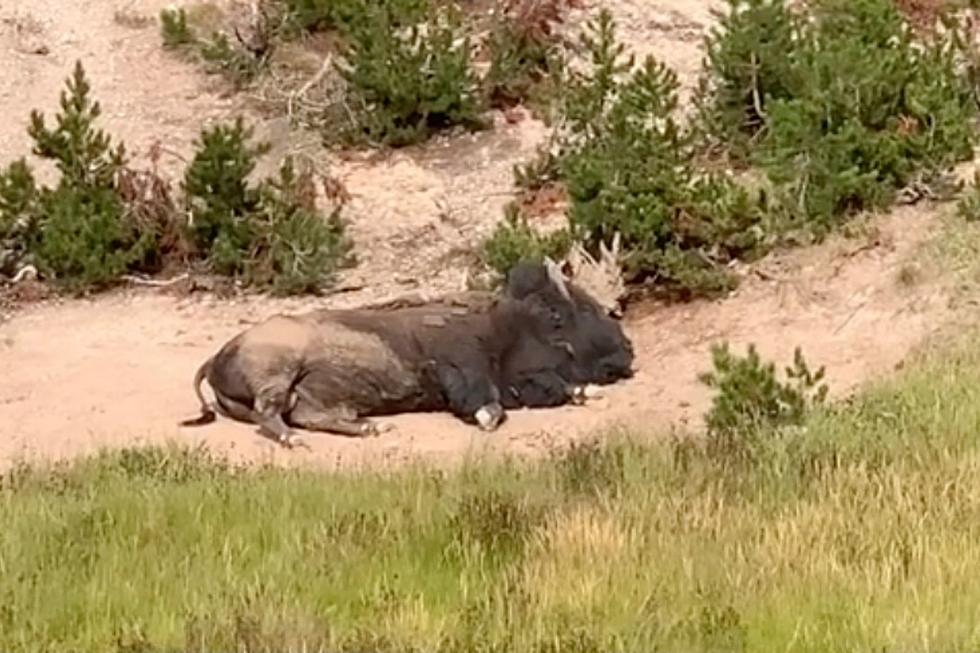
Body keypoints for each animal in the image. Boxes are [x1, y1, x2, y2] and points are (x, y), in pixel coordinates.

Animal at [179, 258, 632, 446]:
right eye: (578, 310)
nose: (627, 351)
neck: (502, 325)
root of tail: (217, 355)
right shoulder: (462, 365)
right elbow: (487, 400)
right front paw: (488, 418)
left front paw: (586, 393)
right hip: (279, 372)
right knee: (271, 414)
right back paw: (294, 440)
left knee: (310, 414)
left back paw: (369, 428)